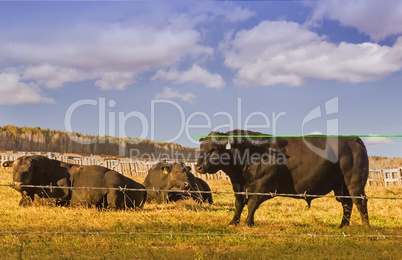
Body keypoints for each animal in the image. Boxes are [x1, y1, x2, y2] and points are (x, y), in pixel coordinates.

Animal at [7, 154, 147, 209]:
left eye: (29, 170)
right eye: (13, 168)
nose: (17, 184)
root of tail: (140, 186)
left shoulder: (60, 195)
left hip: (114, 187)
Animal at [196, 130, 370, 228]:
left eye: (214, 149)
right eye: (201, 147)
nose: (198, 167)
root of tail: (351, 139)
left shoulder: (264, 184)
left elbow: (252, 203)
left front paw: (248, 223)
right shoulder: (239, 186)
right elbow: (239, 204)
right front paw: (234, 222)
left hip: (354, 182)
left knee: (360, 201)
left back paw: (365, 227)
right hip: (341, 186)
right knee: (347, 204)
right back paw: (343, 226)